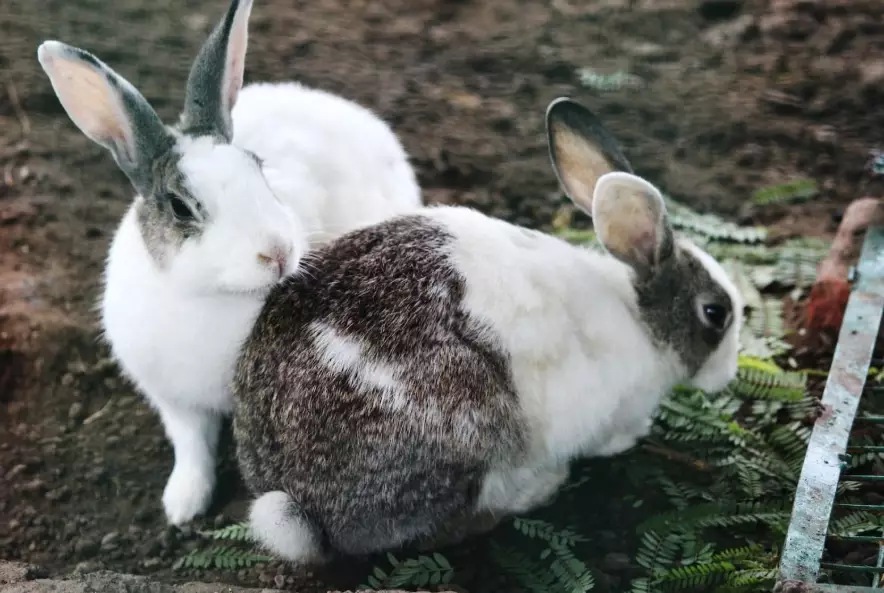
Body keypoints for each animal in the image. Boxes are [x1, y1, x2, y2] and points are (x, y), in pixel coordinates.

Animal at [36, 0, 422, 526]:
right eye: (181, 207)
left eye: (259, 170)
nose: (277, 252)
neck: (211, 296)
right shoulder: (174, 400)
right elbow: (191, 446)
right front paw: (183, 505)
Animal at [230, 96, 745, 564]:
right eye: (715, 313)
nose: (727, 375)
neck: (640, 317)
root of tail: (299, 502)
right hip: (471, 428)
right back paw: (538, 488)